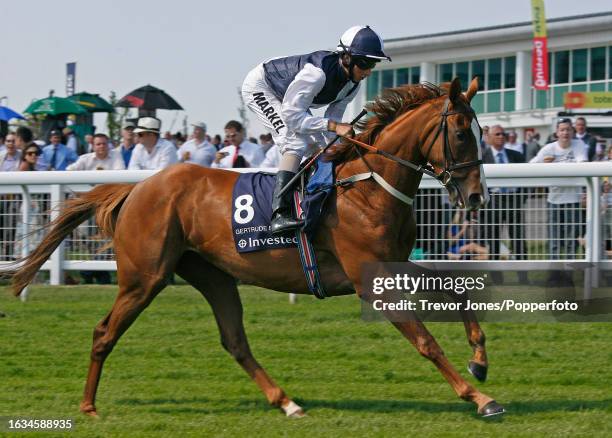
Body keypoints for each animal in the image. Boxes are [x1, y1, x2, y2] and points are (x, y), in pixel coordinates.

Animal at [4, 78, 502, 418]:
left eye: (482, 133)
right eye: (462, 134)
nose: (478, 196)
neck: (367, 186)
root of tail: (139, 187)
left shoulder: (395, 263)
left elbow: (456, 291)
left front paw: (479, 361)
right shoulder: (371, 280)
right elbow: (425, 341)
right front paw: (479, 397)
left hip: (213, 276)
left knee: (234, 340)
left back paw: (286, 402)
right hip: (145, 277)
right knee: (104, 332)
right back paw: (88, 406)